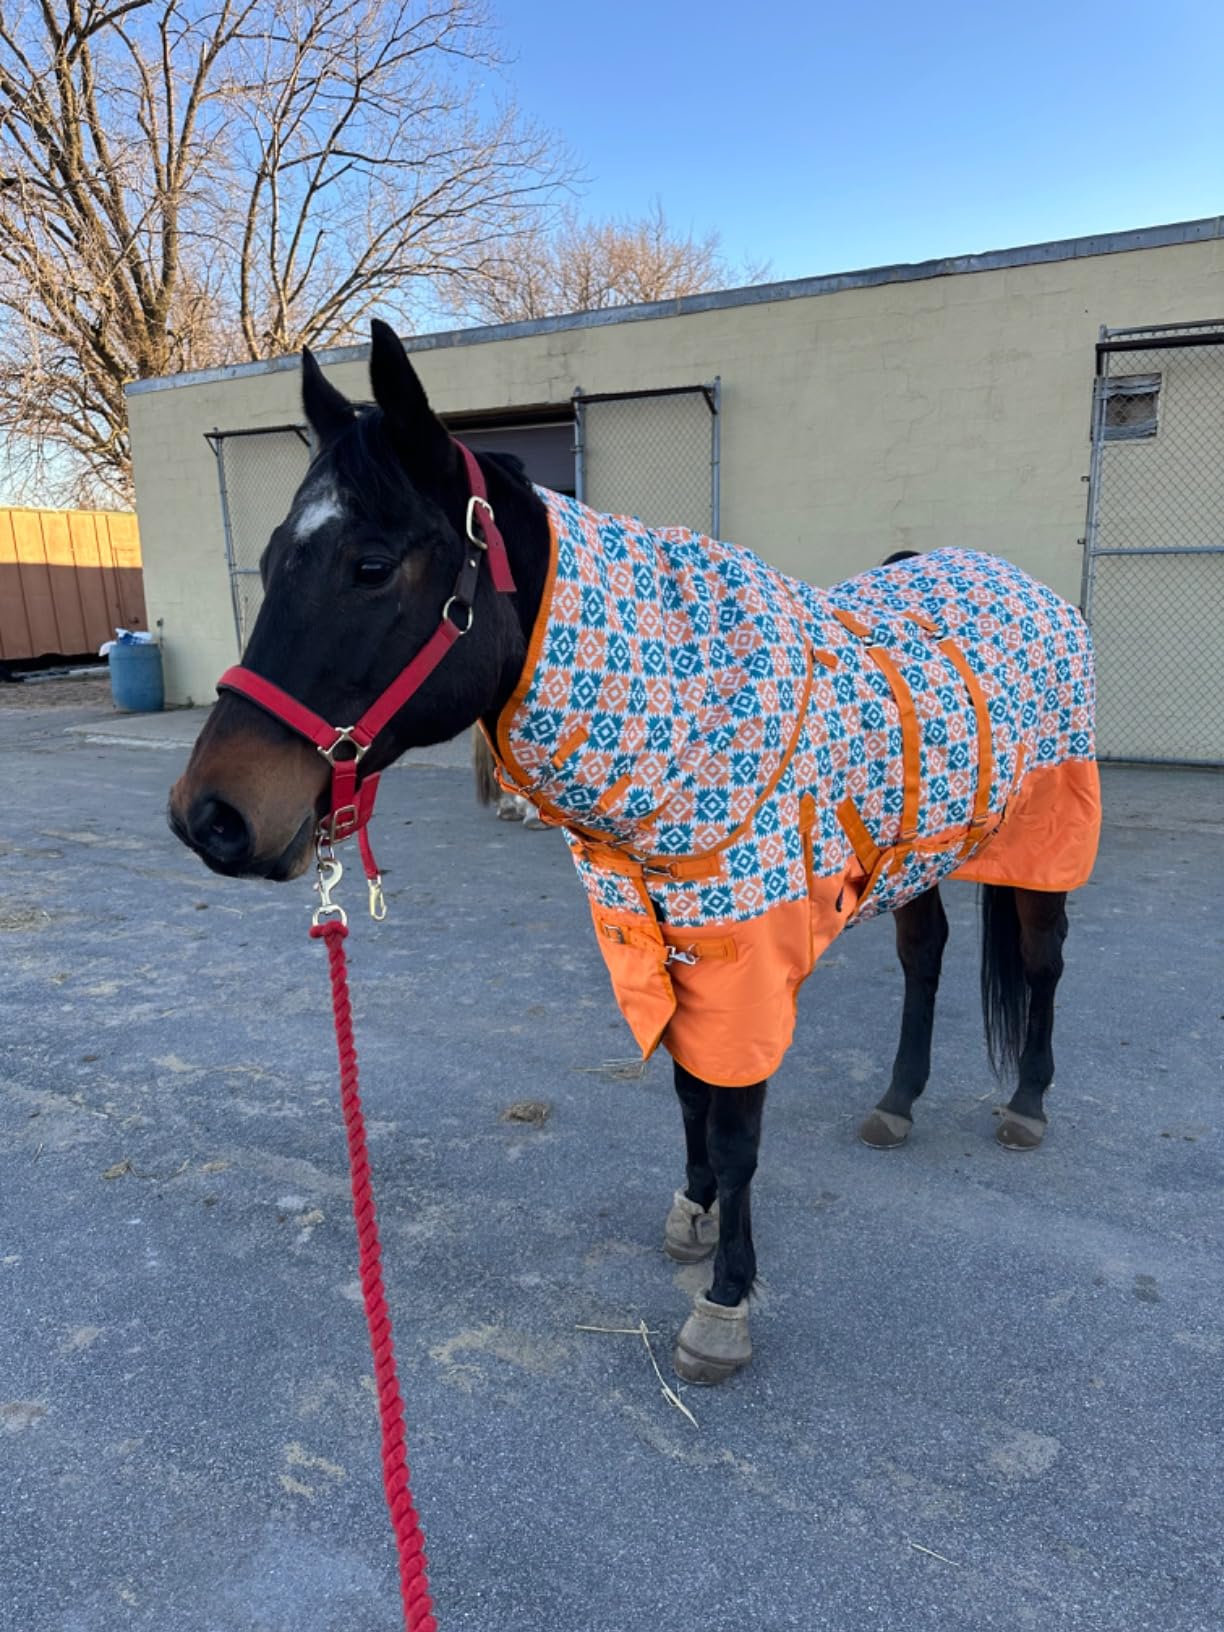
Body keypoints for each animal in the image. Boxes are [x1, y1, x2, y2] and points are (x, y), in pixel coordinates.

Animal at [169, 320, 1100, 1384]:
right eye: (274, 554)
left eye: (369, 566)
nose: (211, 815)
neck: (689, 710)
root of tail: (1020, 585)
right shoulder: (663, 938)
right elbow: (692, 1092)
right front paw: (694, 1213)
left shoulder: (743, 950)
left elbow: (734, 1120)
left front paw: (725, 1300)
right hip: (920, 852)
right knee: (926, 955)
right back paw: (898, 1101)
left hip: (1045, 841)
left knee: (1042, 959)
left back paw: (1027, 1101)